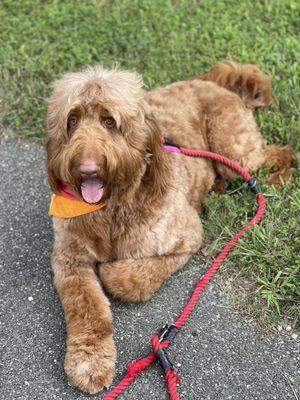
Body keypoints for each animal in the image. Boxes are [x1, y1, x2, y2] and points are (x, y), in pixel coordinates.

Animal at [45, 61, 296, 392]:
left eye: (110, 121)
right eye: (71, 121)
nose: (87, 169)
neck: (111, 209)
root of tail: (209, 81)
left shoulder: (187, 237)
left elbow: (127, 278)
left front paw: (111, 271)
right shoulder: (69, 259)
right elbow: (86, 309)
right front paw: (89, 360)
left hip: (235, 152)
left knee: (280, 153)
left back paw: (279, 177)